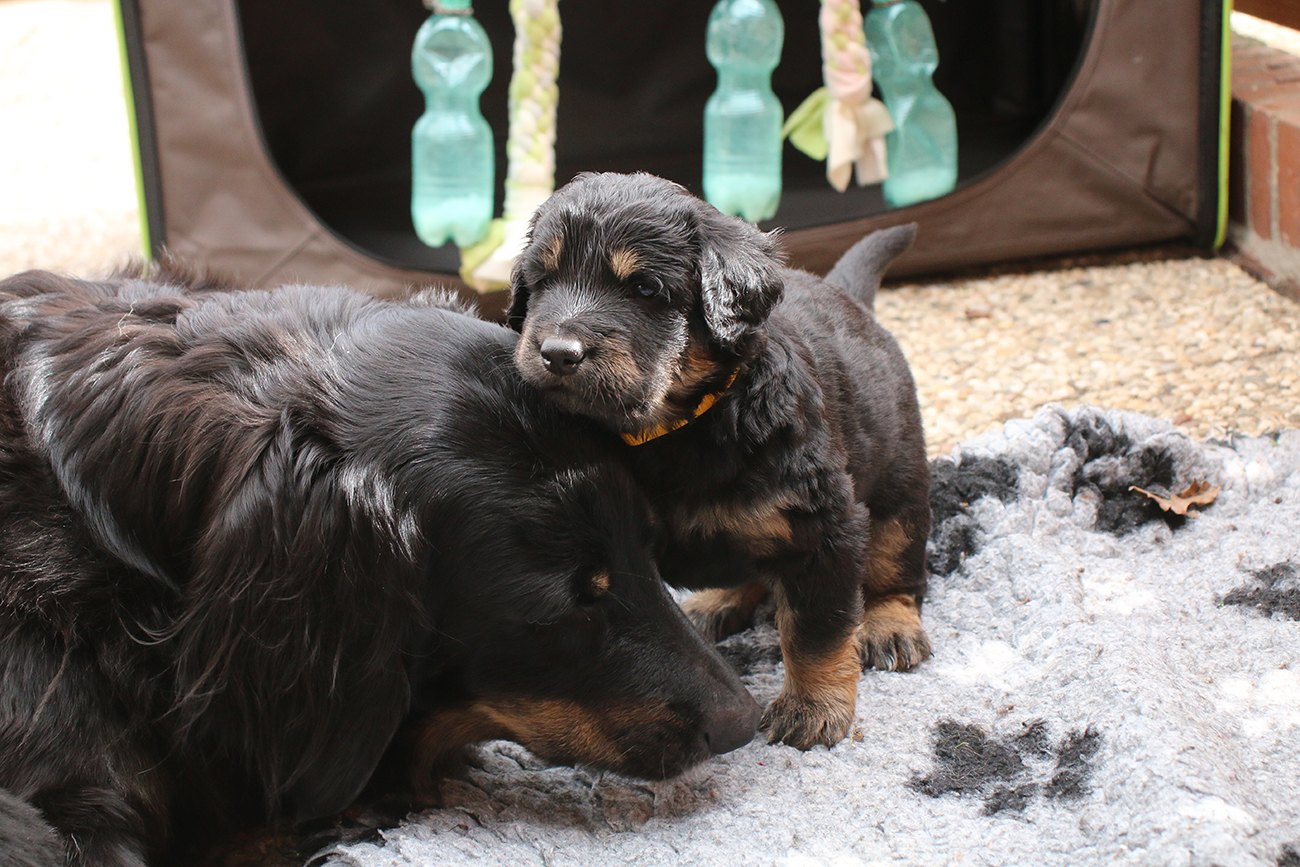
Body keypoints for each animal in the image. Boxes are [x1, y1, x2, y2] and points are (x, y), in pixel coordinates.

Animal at [508, 172, 931, 751]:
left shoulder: (824, 526)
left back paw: (890, 626)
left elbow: (819, 630)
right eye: (543, 280)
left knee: (895, 565)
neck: (679, 429)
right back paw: (715, 601)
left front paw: (812, 708)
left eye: (644, 289)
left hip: (899, 483)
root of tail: (849, 300)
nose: (556, 353)